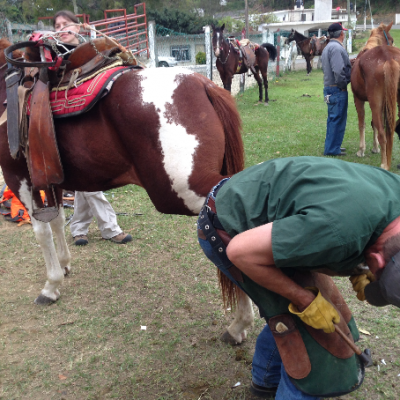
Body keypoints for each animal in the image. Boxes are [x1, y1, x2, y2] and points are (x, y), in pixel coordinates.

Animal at [0, 39, 255, 344]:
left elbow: (41, 231)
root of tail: (203, 84)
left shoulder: (18, 175)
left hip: (184, 190)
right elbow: (59, 221)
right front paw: (63, 265)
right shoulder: (52, 180)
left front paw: (51, 285)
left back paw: (242, 323)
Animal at [350, 22, 400, 169]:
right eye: (392, 40)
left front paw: (362, 150)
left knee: (383, 134)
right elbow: (374, 124)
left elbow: (362, 124)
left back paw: (384, 164)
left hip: (374, 103)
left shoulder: (358, 99)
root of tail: (387, 57)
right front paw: (375, 148)